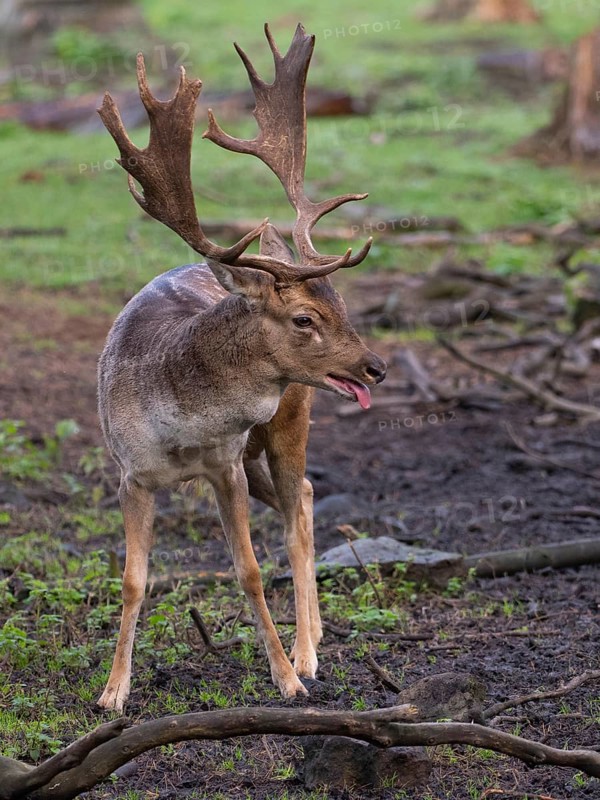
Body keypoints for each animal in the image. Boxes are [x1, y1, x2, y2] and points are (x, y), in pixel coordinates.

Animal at [96, 23, 386, 712]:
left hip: (286, 421)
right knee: (300, 497)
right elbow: (133, 580)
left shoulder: (225, 464)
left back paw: (308, 653)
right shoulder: (130, 473)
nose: (376, 366)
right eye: (305, 318)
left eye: (343, 304)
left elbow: (250, 570)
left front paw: (285, 678)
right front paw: (112, 693)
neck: (178, 432)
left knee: (300, 503)